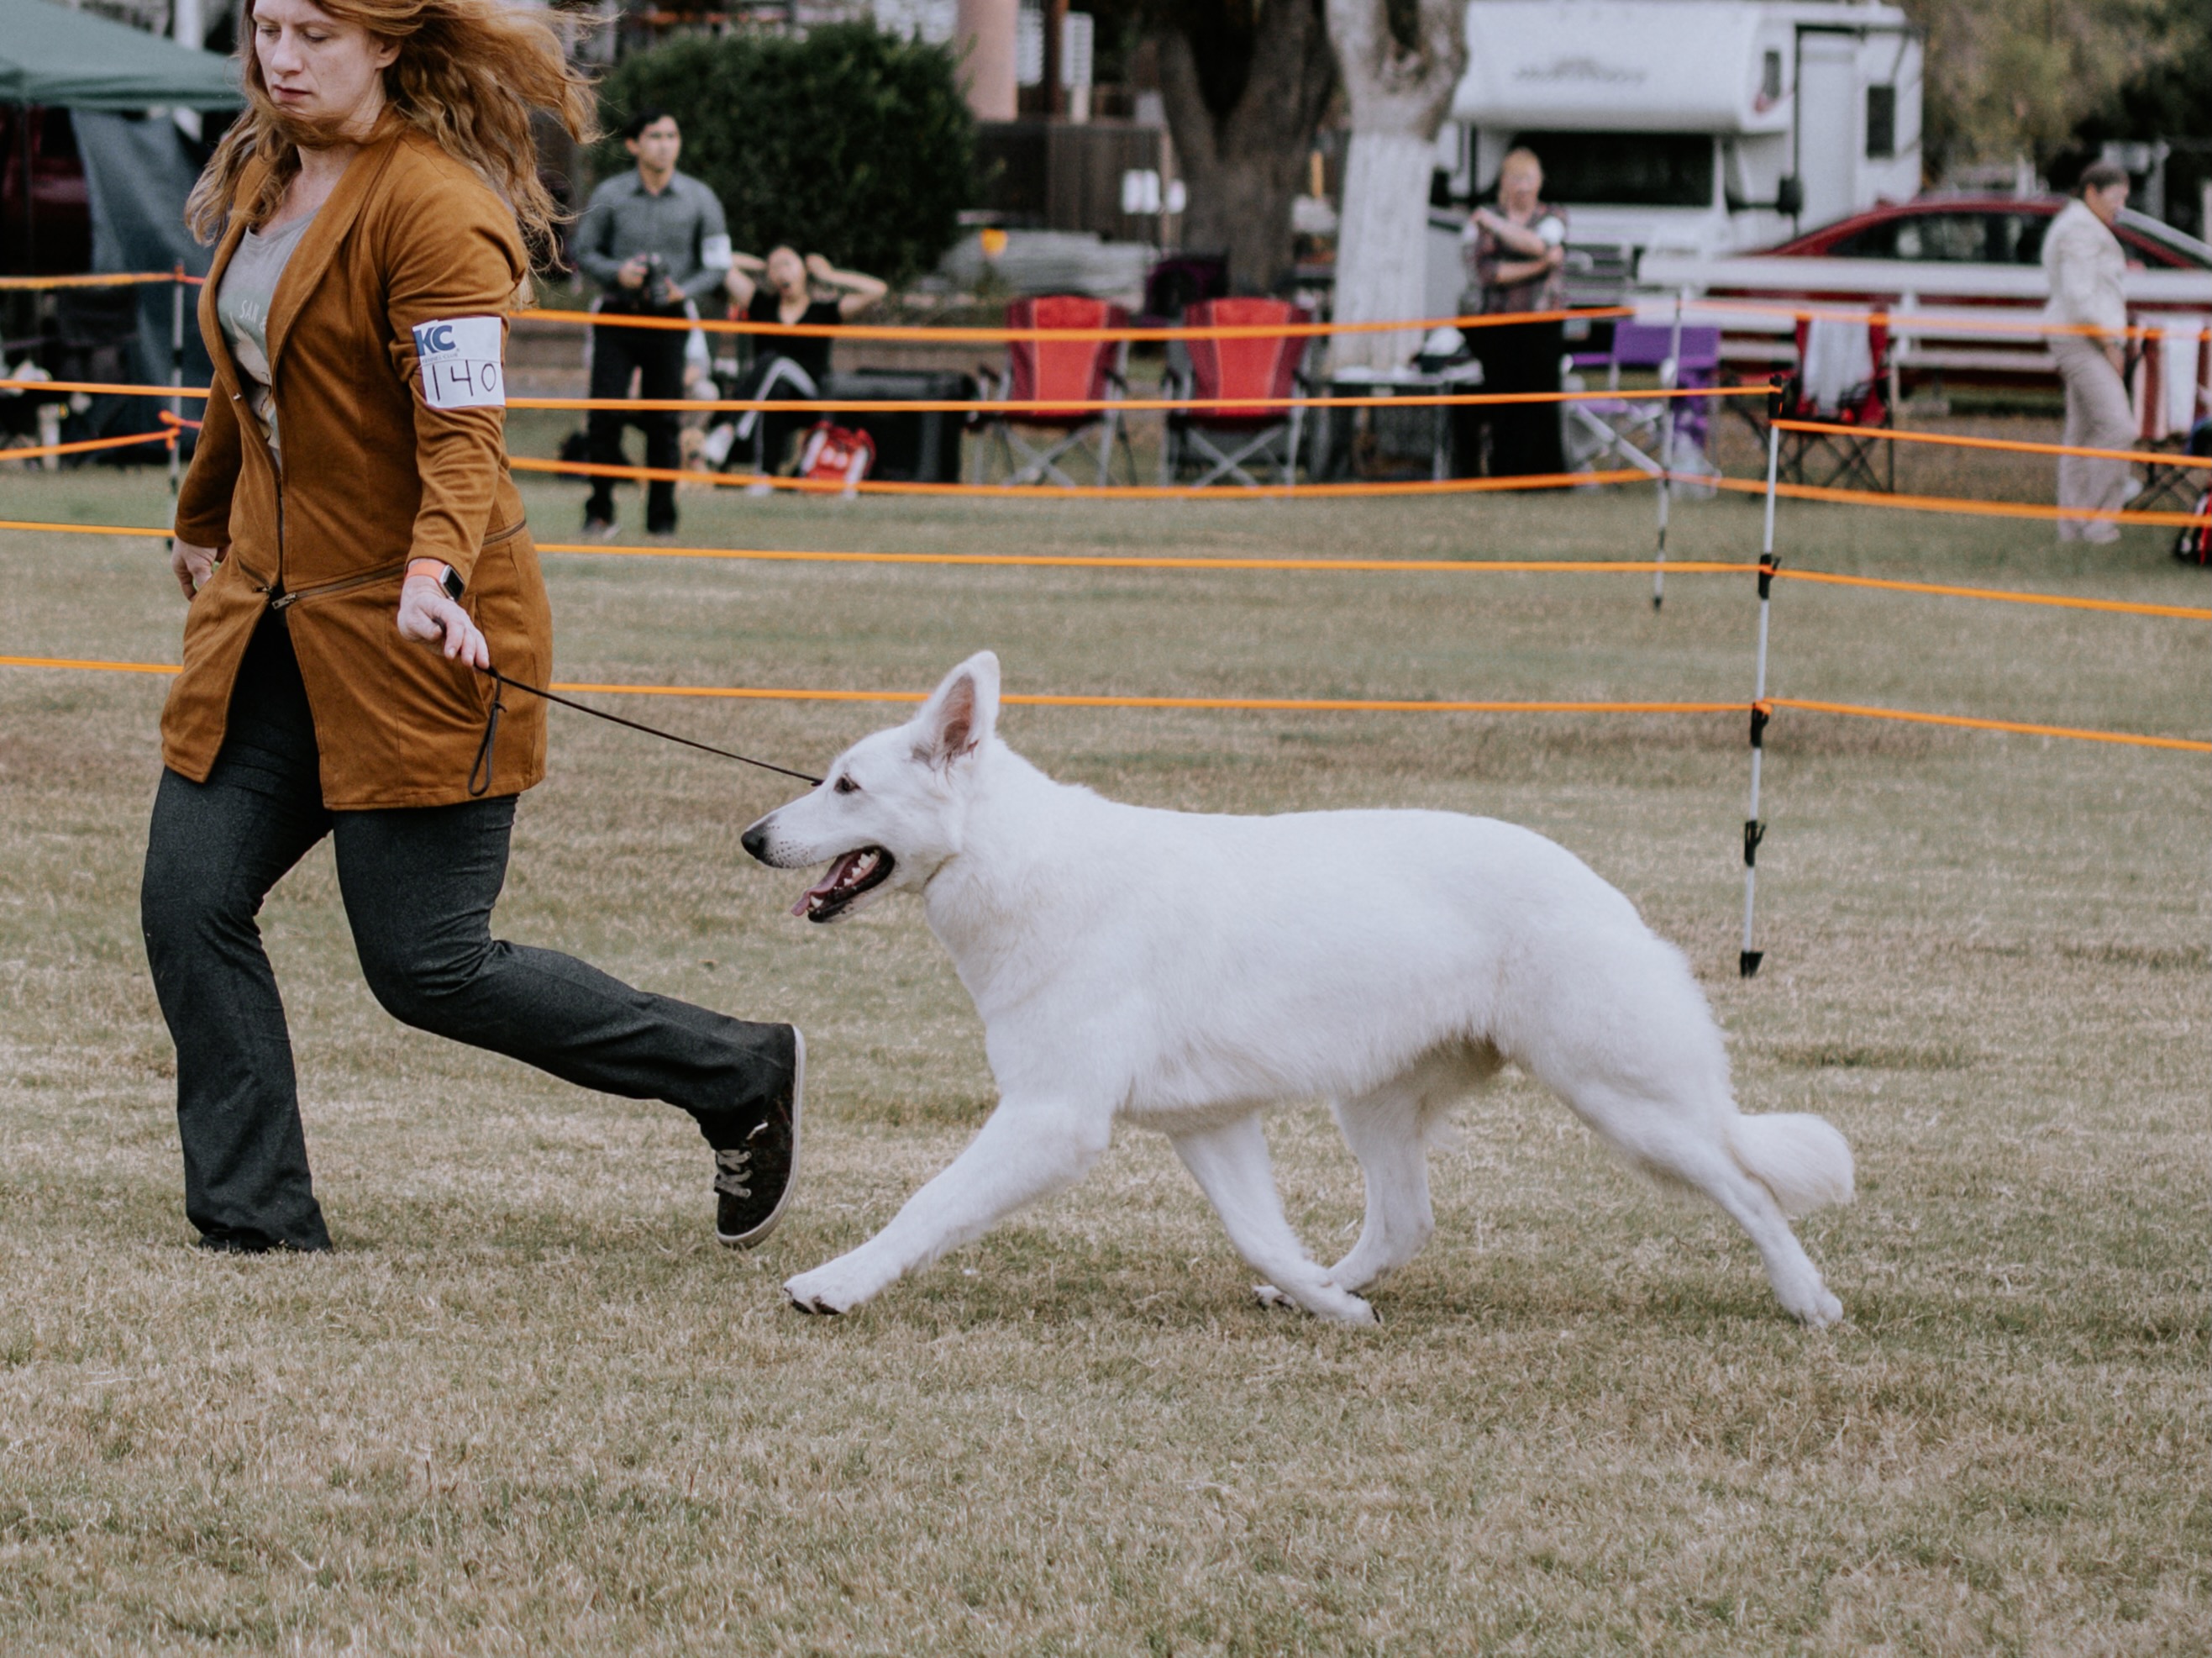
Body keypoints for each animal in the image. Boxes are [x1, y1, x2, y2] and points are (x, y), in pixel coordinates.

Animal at [743, 655, 1849, 1328]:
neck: (1010, 859)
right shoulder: (1208, 1123)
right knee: (1404, 1221)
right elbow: (1260, 1237)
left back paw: (1805, 1297)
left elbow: (927, 1203)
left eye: (845, 785)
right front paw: (1328, 1305)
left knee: (1745, 1186)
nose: (752, 836)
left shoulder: (1051, 1118)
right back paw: (1334, 1285)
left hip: (1620, 1101)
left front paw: (834, 1282)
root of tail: (1600, 889)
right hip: (1377, 1103)